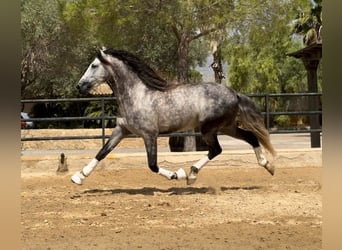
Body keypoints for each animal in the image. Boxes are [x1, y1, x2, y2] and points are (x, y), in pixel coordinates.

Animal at [71, 48, 276, 186]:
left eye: (94, 65)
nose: (79, 86)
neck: (137, 95)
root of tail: (234, 93)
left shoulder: (149, 135)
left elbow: (152, 165)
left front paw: (176, 175)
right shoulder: (121, 131)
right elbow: (102, 152)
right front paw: (78, 176)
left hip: (209, 129)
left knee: (217, 149)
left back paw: (191, 174)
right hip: (227, 127)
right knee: (250, 137)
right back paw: (268, 165)